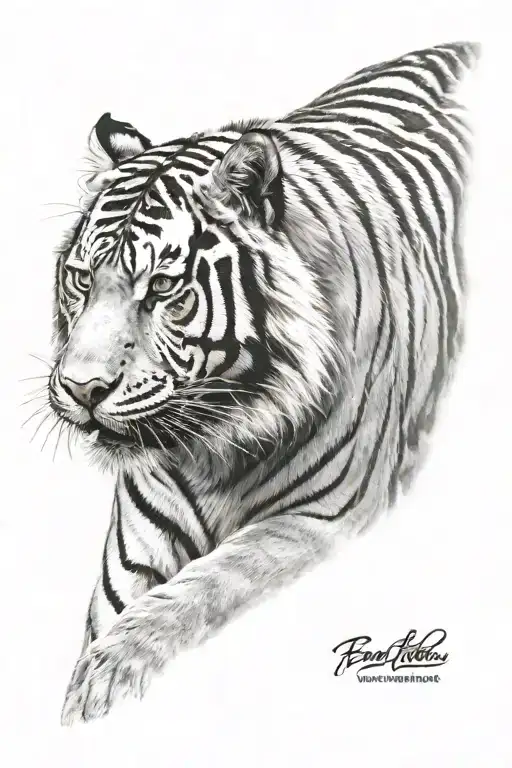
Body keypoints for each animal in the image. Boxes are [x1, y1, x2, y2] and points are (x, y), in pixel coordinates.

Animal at [46, 40, 480, 724]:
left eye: (161, 288)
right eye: (83, 278)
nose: (81, 389)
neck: (211, 449)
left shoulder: (326, 519)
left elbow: (211, 584)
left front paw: (106, 680)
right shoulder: (136, 548)